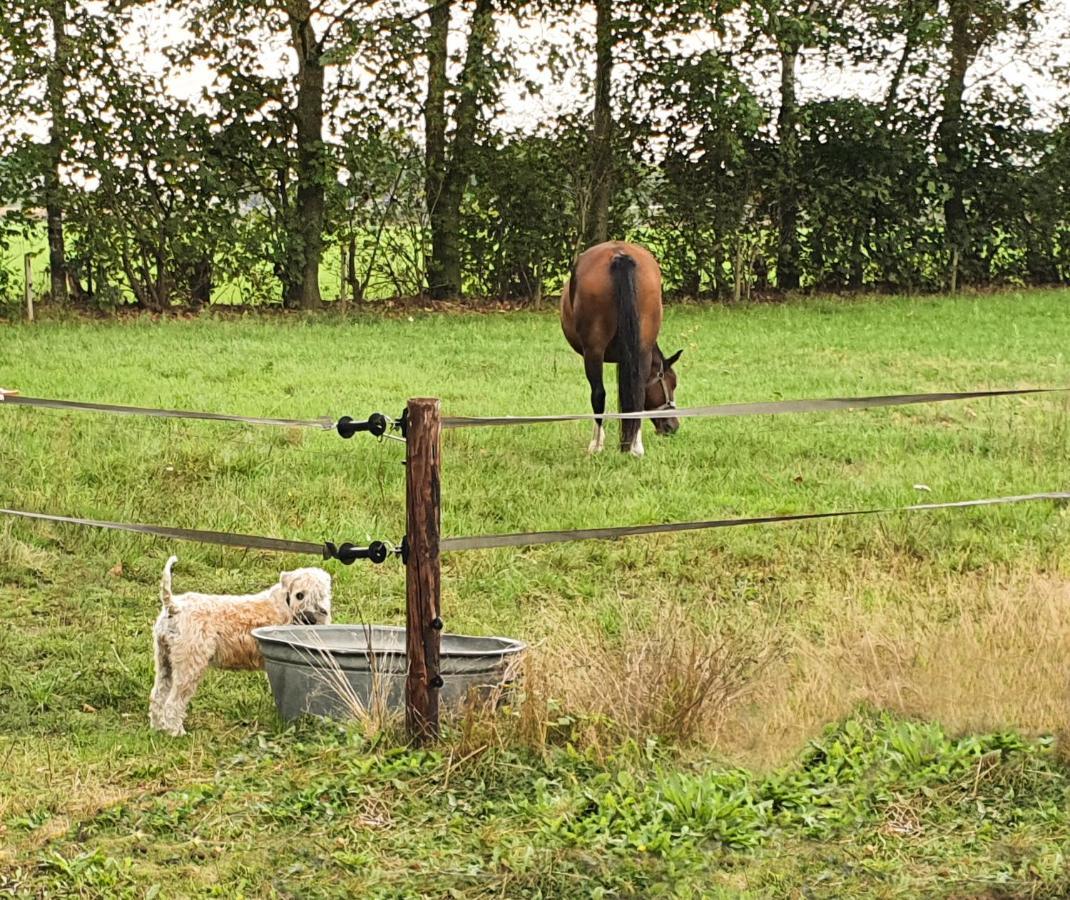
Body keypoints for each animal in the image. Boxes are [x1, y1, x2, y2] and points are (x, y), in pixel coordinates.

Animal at [564, 240, 680, 455]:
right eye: (672, 382)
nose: (672, 426)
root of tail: (620, 254)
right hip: (641, 348)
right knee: (637, 392)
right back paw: (635, 447)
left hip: (594, 351)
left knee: (598, 393)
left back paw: (597, 445)